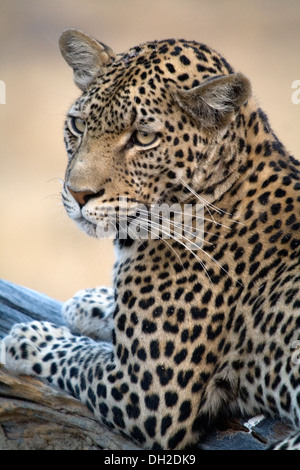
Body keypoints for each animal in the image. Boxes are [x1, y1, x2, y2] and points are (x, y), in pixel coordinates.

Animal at [2, 28, 300, 448]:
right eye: (78, 125)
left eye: (143, 137)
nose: (77, 193)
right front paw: (90, 301)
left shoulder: (146, 393)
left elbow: (79, 356)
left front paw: (32, 337)